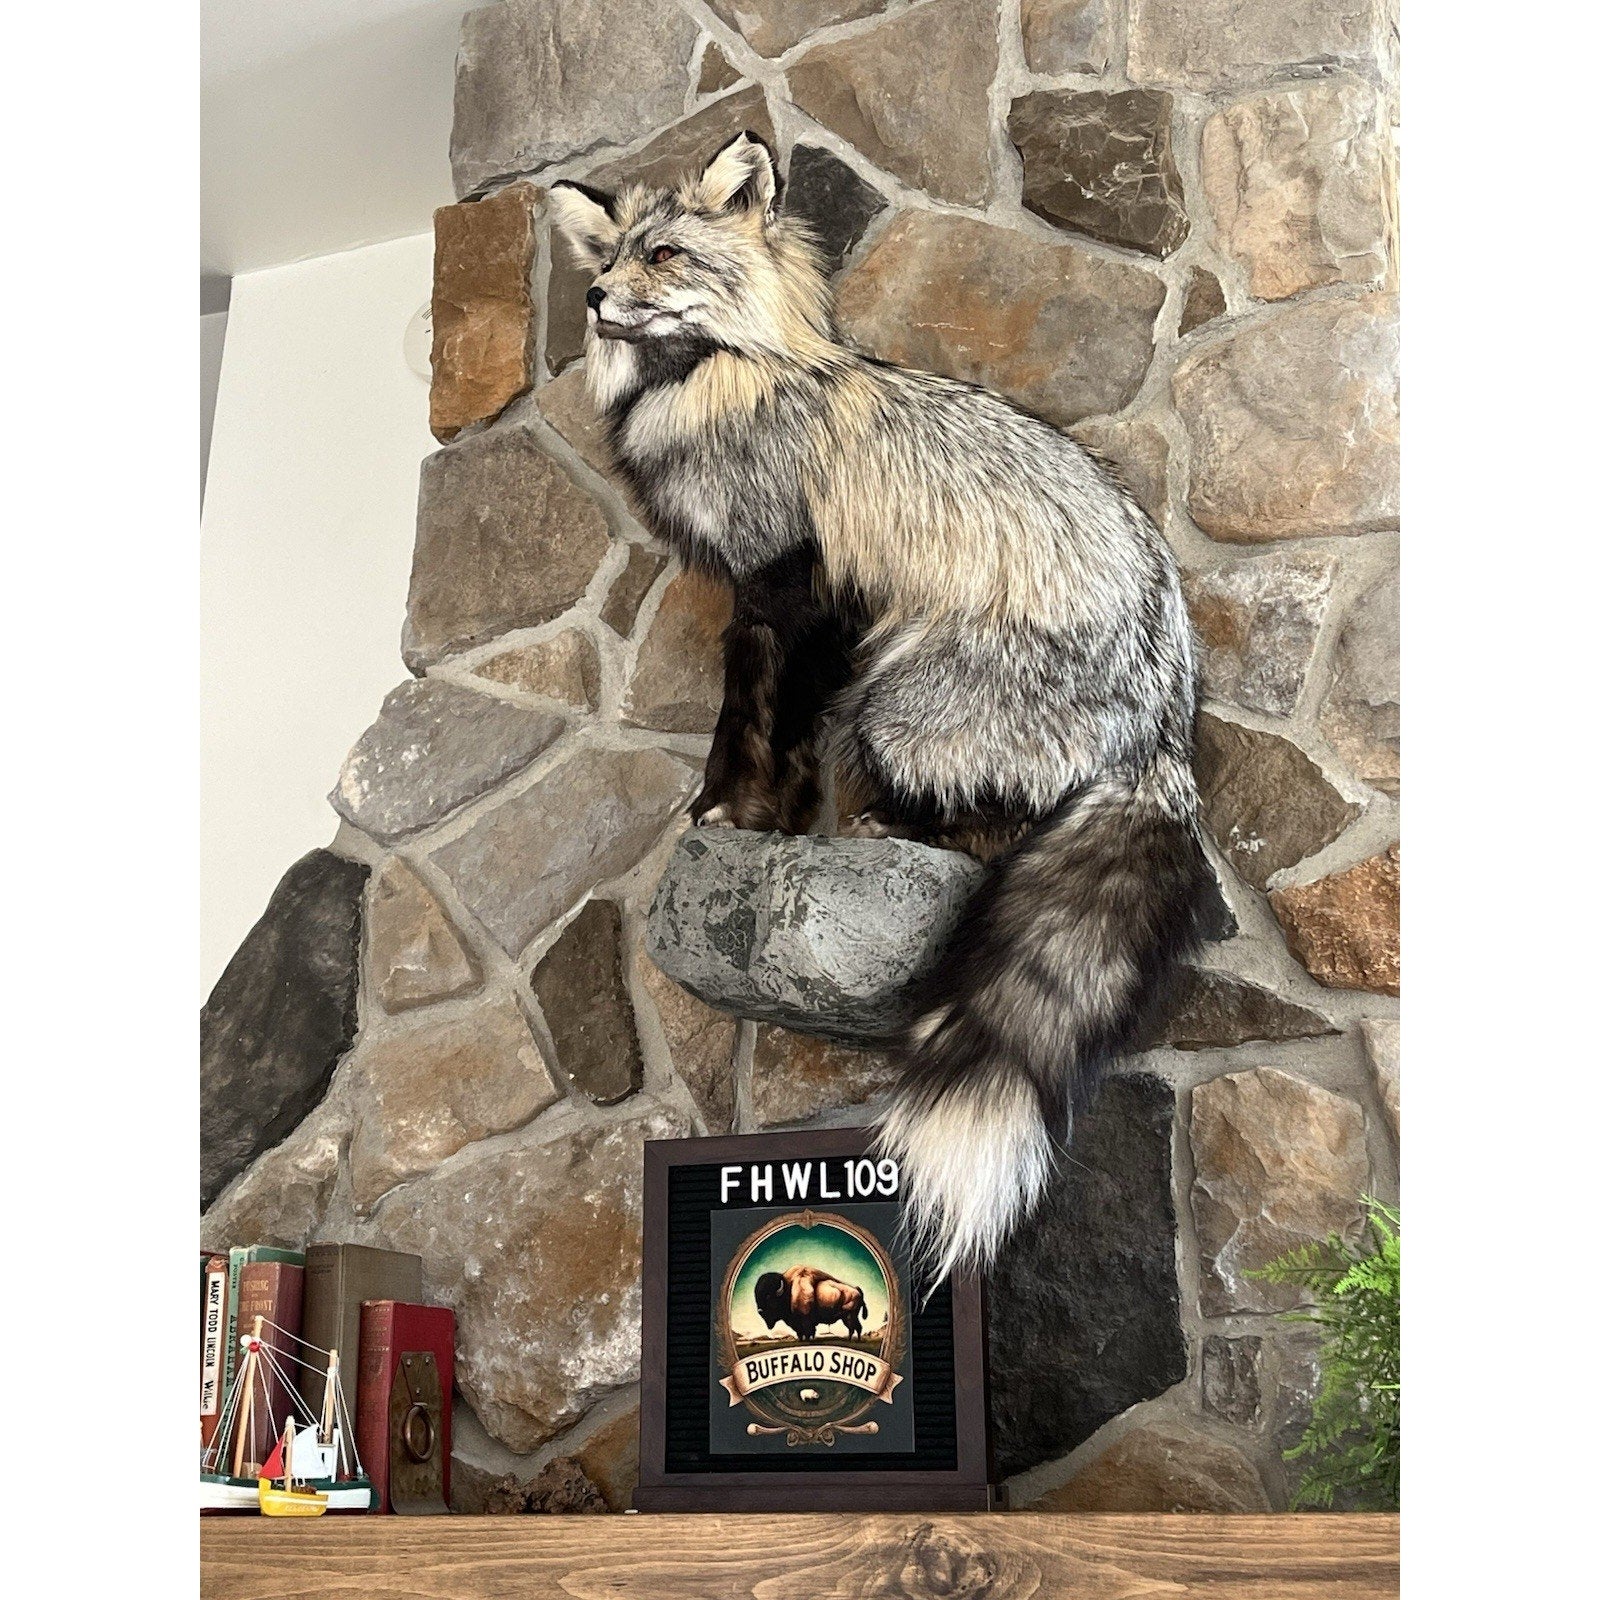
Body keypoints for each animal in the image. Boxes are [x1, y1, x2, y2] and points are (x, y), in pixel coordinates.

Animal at [548, 133, 1211, 1283]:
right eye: (613, 257)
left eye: (663, 256)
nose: (591, 299)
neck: (729, 388)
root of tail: (1168, 716)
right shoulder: (801, 607)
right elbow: (781, 739)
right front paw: (767, 818)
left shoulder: (790, 584)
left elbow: (752, 720)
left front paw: (731, 813)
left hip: (895, 700)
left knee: (989, 830)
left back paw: (892, 827)